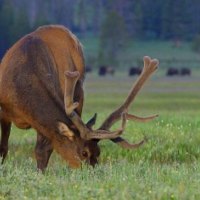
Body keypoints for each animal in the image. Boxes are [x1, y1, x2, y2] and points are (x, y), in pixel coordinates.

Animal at [0, 25, 159, 172]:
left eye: (99, 152)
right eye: (84, 152)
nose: (93, 172)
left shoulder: (43, 124)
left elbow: (42, 150)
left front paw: (41, 173)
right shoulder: (4, 111)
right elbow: (4, 148)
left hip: (79, 93)